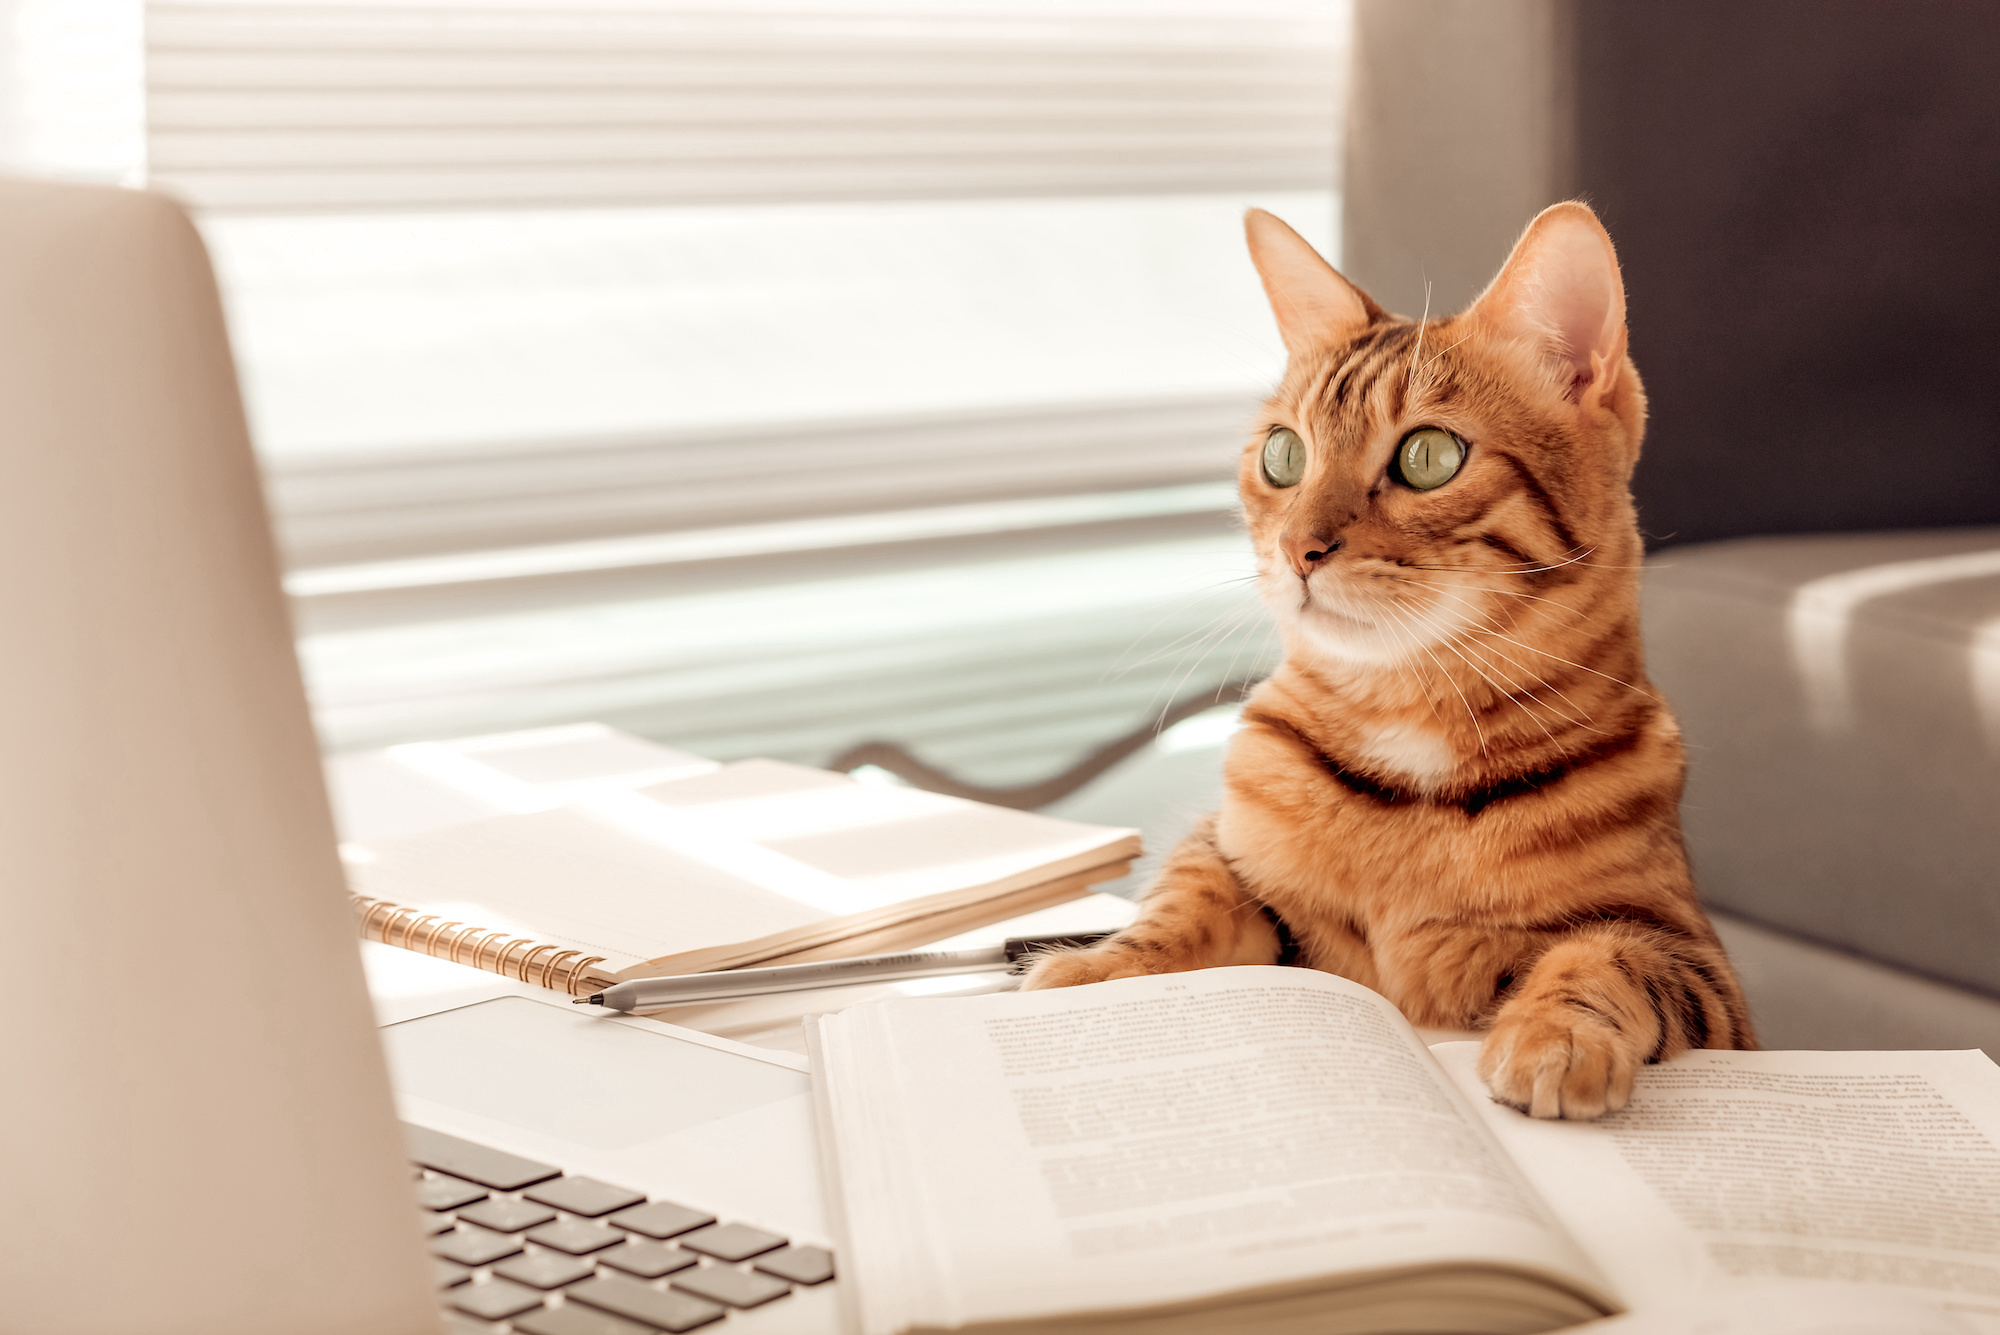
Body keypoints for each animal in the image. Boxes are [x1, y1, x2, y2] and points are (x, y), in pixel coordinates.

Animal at [1024, 197, 1760, 1119]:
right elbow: (1181, 902)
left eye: (1429, 455)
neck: (1410, 723)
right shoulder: (1224, 847)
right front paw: (1095, 970)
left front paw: (1554, 1033)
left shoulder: (1701, 964)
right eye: (1284, 454)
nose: (1299, 548)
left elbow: (1607, 954)